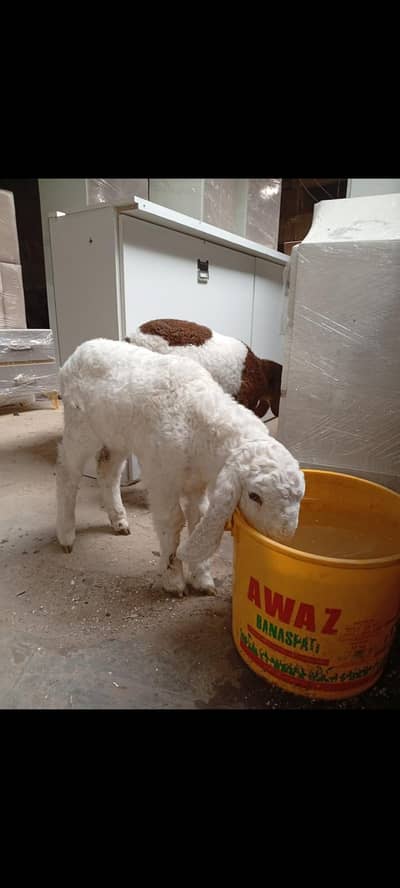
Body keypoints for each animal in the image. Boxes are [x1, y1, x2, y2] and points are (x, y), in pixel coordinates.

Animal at [56, 338, 304, 598]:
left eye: (300, 498)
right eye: (254, 496)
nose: (282, 537)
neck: (199, 425)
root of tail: (81, 349)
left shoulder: (198, 484)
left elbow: (199, 518)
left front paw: (202, 579)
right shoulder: (162, 479)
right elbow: (172, 521)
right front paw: (173, 580)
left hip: (116, 436)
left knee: (107, 471)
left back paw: (119, 521)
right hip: (80, 428)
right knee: (67, 472)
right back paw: (66, 534)